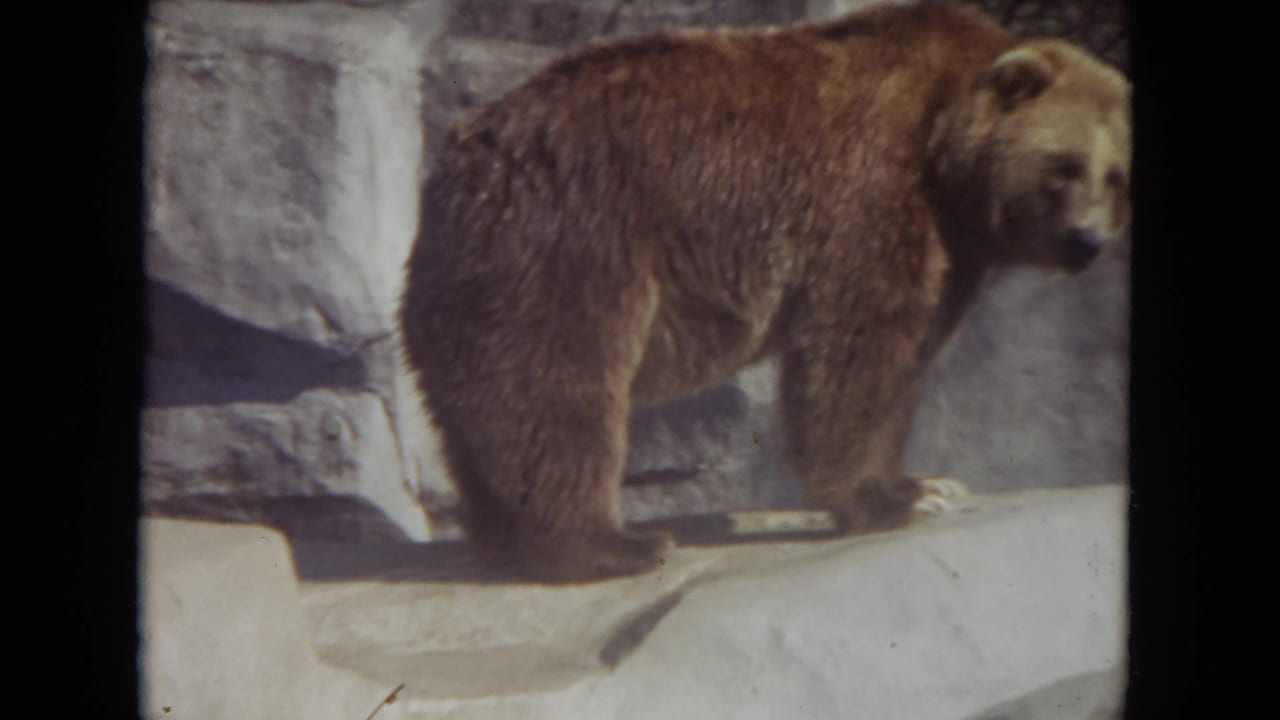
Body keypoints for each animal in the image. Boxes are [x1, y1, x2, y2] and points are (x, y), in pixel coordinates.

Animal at [399, 1, 1131, 583]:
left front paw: (925, 482)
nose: (1087, 242)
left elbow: (909, 359)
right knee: (559, 391)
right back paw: (617, 544)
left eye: (1116, 174)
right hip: (569, 243)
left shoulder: (952, 250)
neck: (947, 161)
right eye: (1063, 165)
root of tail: (454, 166)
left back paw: (507, 544)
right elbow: (856, 347)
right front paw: (884, 501)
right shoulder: (873, 190)